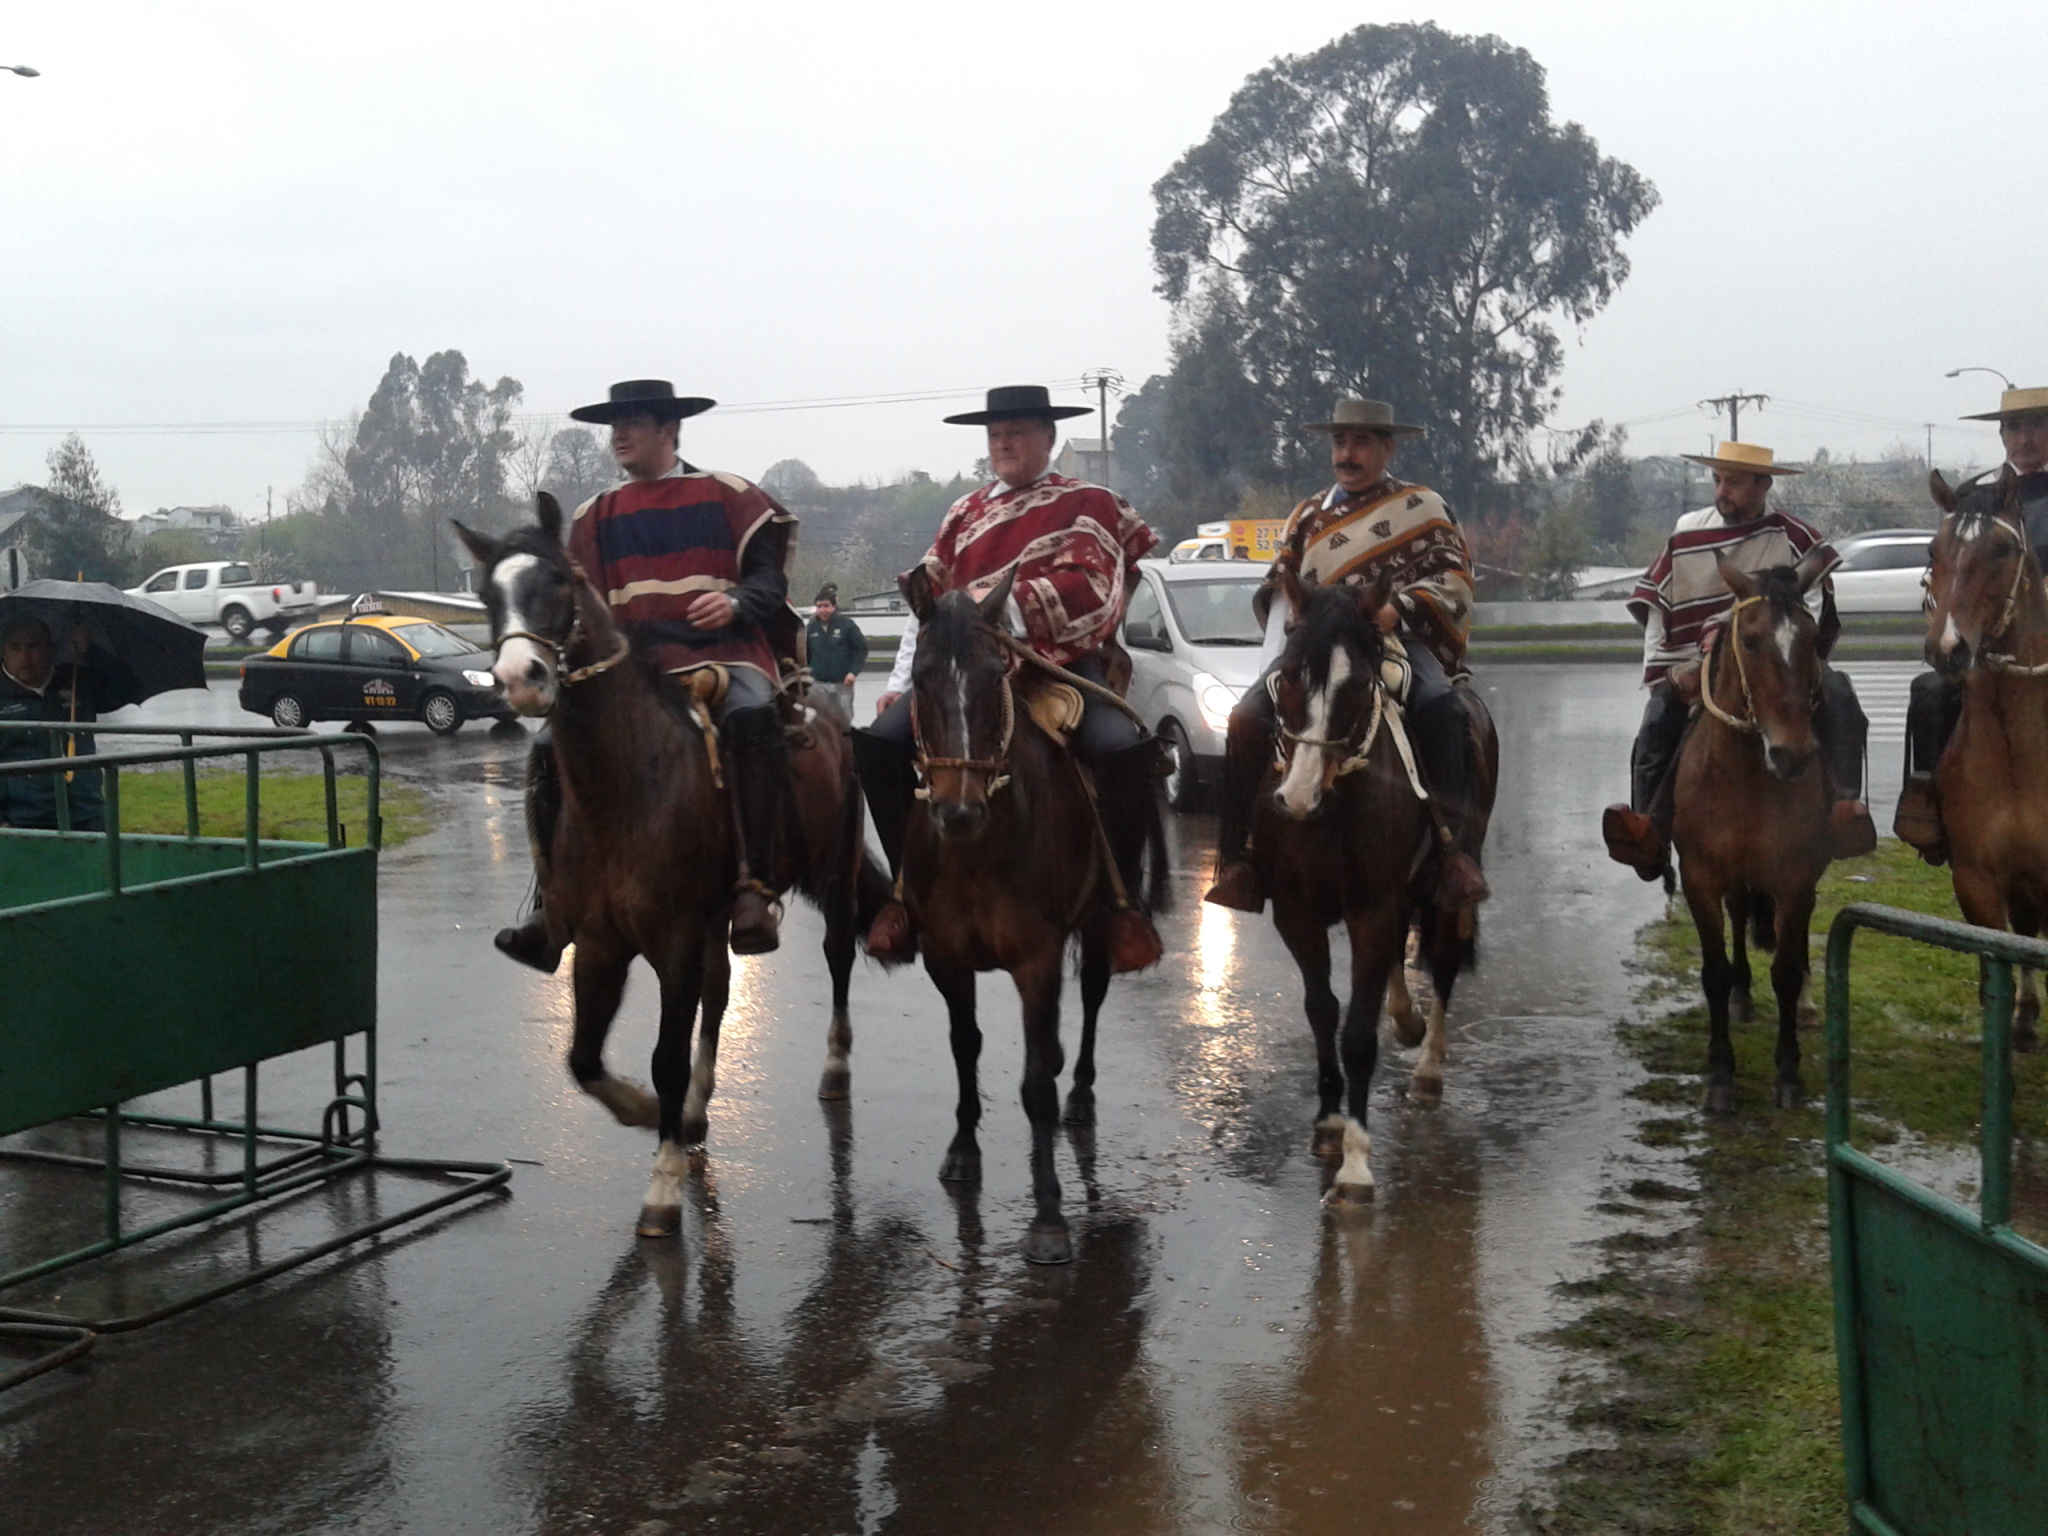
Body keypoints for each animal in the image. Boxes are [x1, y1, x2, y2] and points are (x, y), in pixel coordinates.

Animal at [456, 499, 888, 1245]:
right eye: (486, 594)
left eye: (558, 581)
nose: (519, 679)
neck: (630, 784)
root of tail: (826, 710)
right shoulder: (601, 944)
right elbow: (583, 1059)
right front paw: (641, 1110)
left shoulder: (675, 940)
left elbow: (664, 1056)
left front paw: (661, 1187)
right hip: (718, 923)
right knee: (719, 995)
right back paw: (693, 1109)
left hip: (832, 877)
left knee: (836, 957)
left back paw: (833, 1068)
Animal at [901, 573, 1171, 1269]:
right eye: (919, 678)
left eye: (995, 674)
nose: (958, 810)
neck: (978, 850)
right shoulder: (945, 956)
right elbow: (965, 1046)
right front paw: (963, 1149)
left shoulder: (1037, 960)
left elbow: (1035, 1089)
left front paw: (1049, 1215)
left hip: (1101, 920)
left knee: (1091, 1002)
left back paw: (1080, 1094)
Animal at [1245, 573, 1507, 1212]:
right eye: (1288, 675)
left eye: (1358, 685)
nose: (1297, 797)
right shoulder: (1298, 913)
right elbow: (1322, 1011)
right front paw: (1328, 1122)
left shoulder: (1370, 909)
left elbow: (1359, 1036)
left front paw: (1356, 1167)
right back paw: (1406, 1021)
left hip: (1445, 889)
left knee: (1442, 962)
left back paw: (1428, 1067)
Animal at [1671, 548, 1835, 1105]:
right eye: (1750, 640)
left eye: (1812, 638)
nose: (1792, 754)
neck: (1745, 779)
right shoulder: (1700, 877)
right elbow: (1715, 973)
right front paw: (1721, 1074)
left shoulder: (1796, 877)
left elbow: (1784, 970)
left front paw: (1788, 1072)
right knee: (1740, 917)